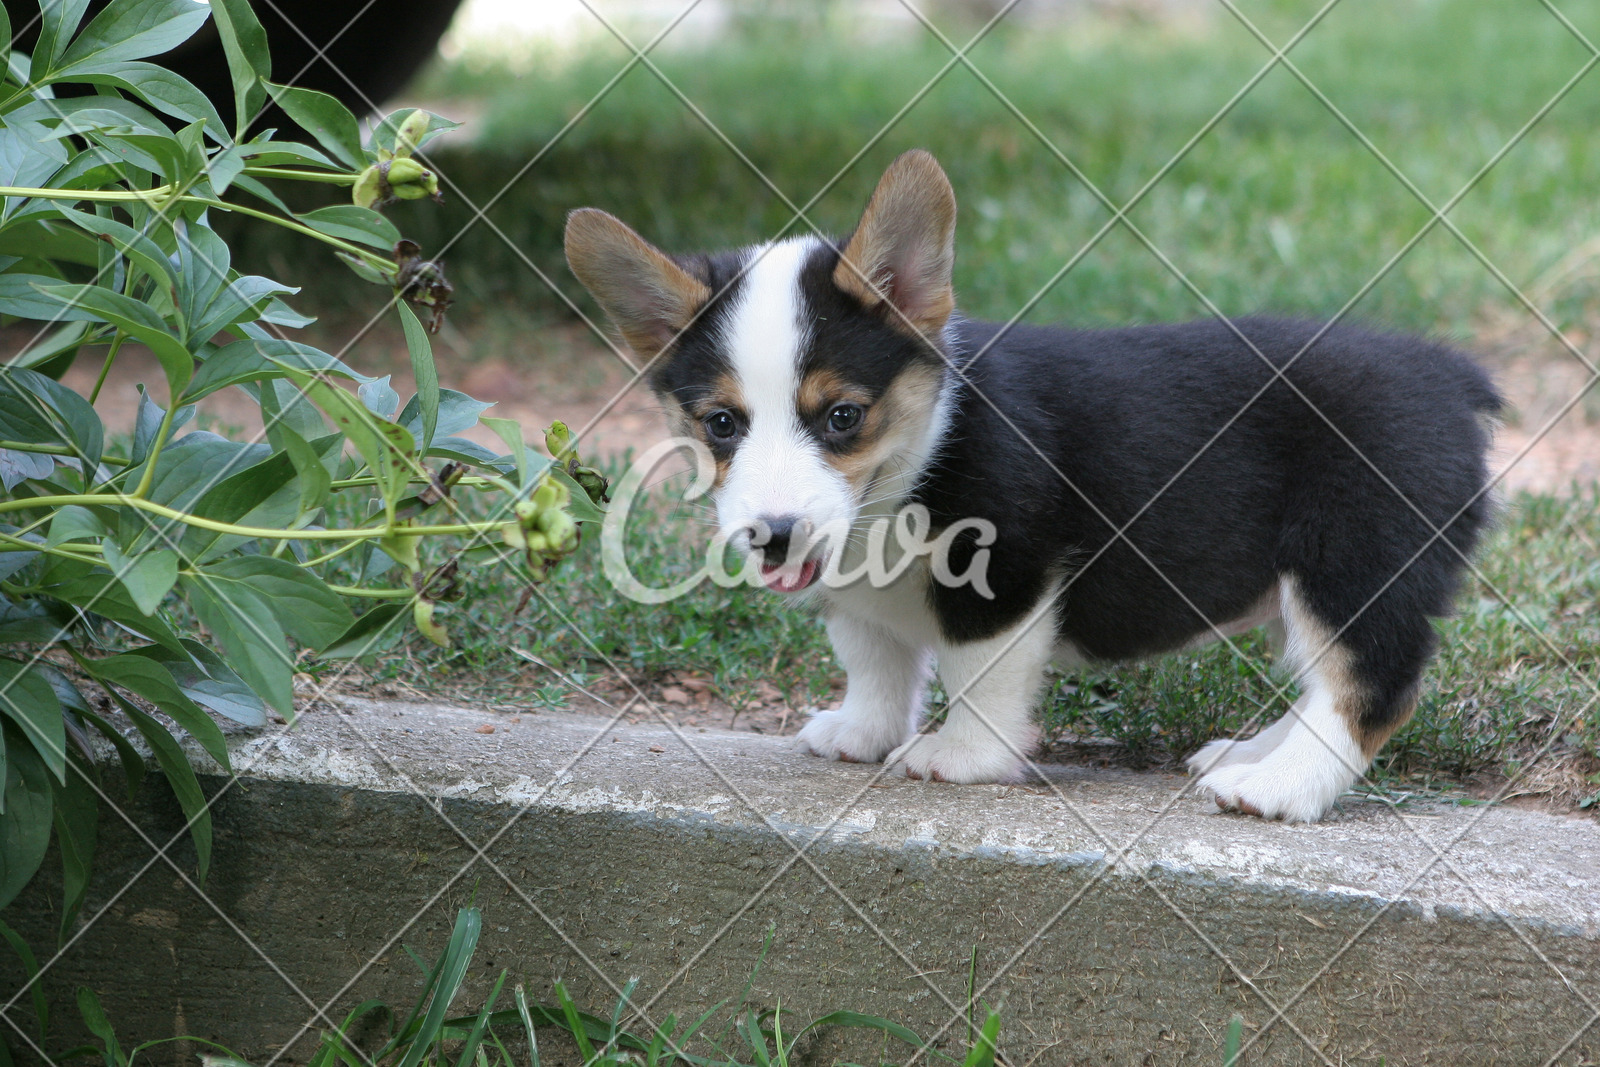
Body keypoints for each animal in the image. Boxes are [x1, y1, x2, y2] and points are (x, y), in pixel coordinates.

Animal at [566, 146, 1497, 825]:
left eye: (842, 417)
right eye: (722, 423)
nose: (774, 533)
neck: (917, 459)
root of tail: (1449, 378)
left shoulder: (1006, 573)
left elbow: (979, 672)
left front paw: (959, 758)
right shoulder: (858, 598)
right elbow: (874, 656)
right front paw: (862, 731)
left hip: (1352, 556)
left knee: (1369, 682)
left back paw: (1277, 786)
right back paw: (1251, 753)